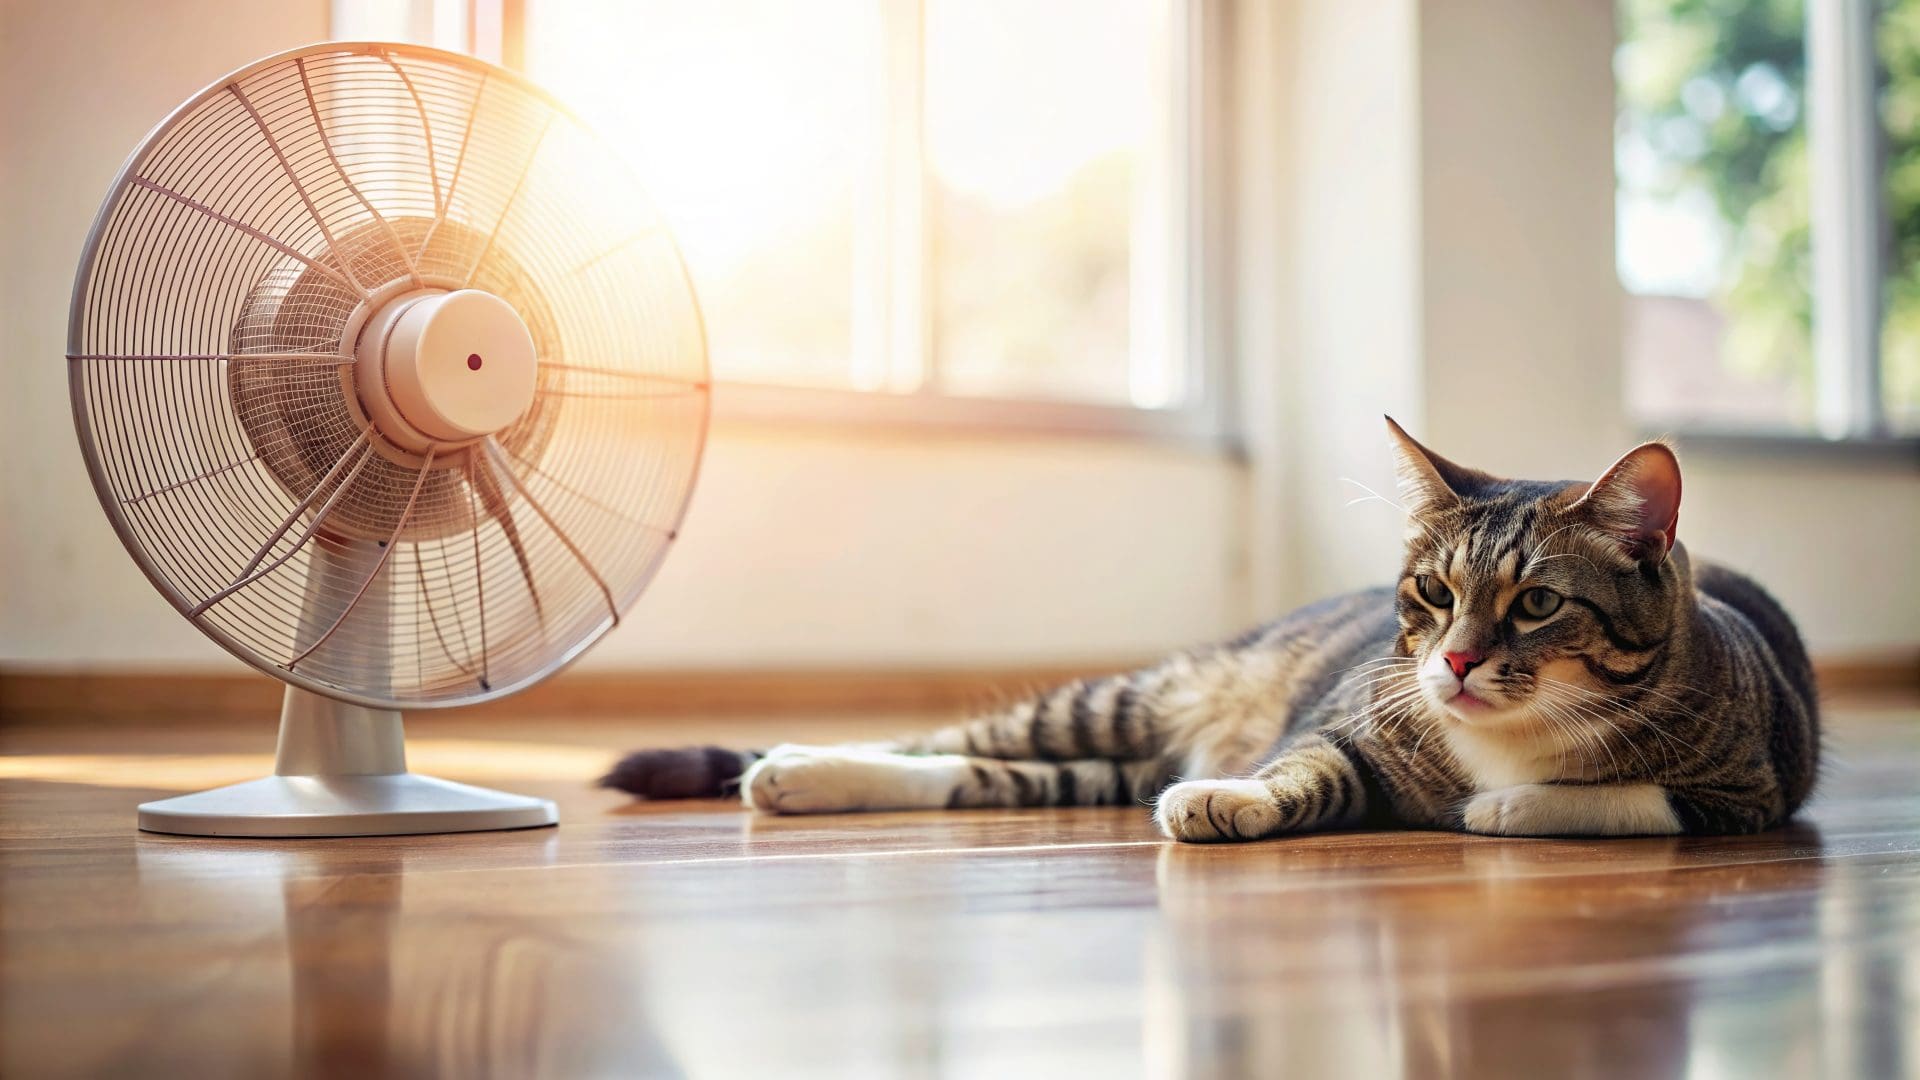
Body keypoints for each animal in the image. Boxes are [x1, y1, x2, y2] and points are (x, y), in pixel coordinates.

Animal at [599, 420, 1812, 841]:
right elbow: (1307, 768)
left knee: (976, 776)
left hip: (1098, 757)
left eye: (1537, 604)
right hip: (1115, 702)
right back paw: (796, 764)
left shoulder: (1751, 788)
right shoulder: (1344, 727)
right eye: (1429, 593)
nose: (1457, 659)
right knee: (939, 745)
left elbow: (1620, 799)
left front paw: (1504, 804)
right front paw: (1235, 797)